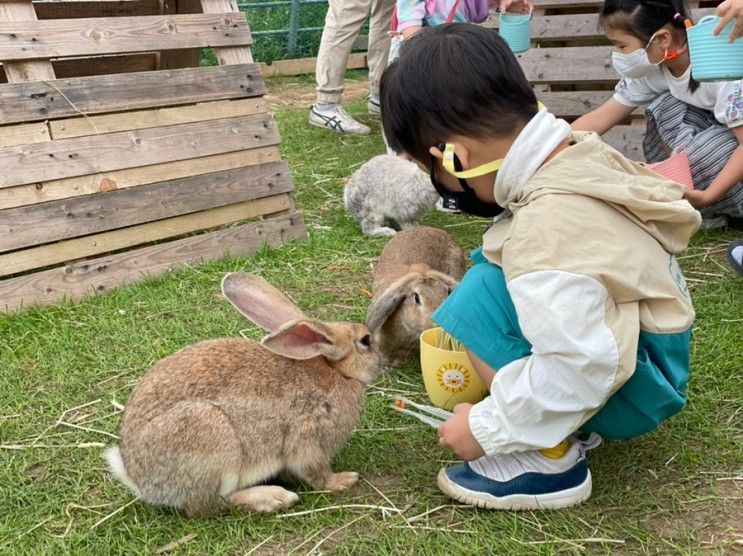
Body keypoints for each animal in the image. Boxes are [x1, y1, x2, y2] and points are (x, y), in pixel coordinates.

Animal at [104, 274, 384, 516]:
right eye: (366, 340)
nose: (383, 361)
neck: (336, 370)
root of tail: (139, 479)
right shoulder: (309, 439)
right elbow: (317, 473)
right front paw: (344, 480)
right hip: (211, 439)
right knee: (208, 506)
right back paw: (273, 498)